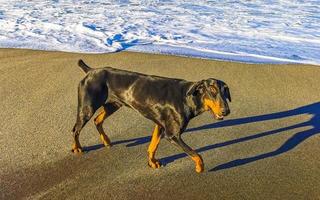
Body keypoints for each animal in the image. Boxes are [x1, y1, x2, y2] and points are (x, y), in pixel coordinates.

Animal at [71, 59, 231, 173]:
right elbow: (196, 154)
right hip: (87, 108)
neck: (188, 98)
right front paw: (200, 167)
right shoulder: (172, 135)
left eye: (225, 91)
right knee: (75, 129)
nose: (226, 111)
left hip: (113, 105)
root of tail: (90, 71)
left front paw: (152, 162)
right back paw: (77, 148)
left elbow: (152, 146)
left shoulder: (160, 125)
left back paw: (106, 141)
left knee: (97, 120)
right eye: (212, 90)